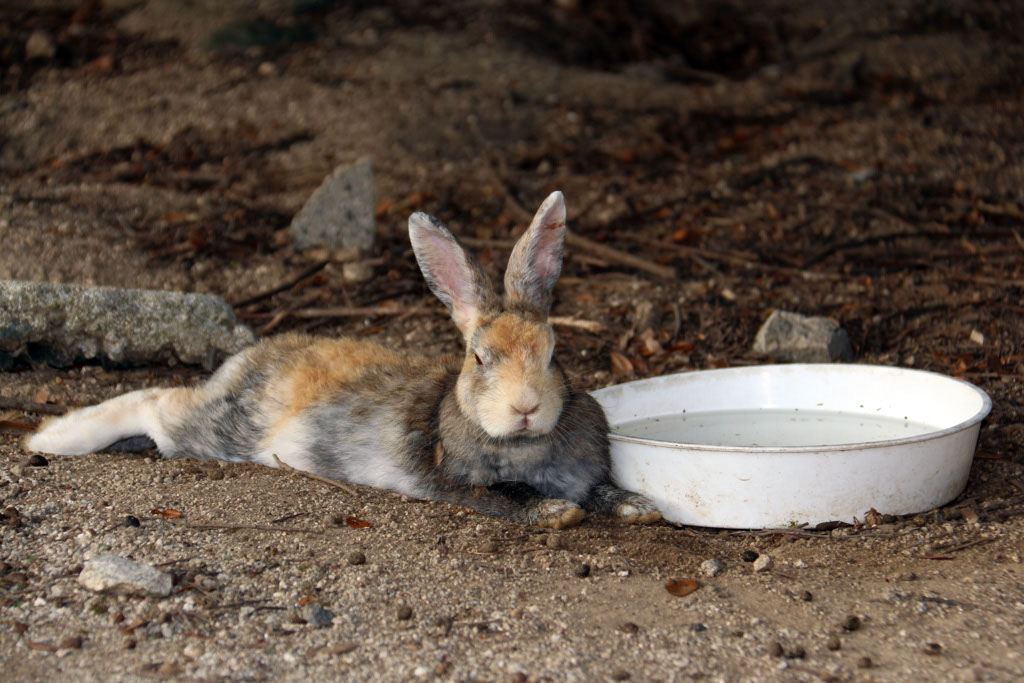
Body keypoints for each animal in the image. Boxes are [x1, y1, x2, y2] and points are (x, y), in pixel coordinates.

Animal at [26, 191, 661, 529]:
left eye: (553, 353)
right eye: (479, 358)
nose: (526, 406)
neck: (528, 444)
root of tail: (246, 360)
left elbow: (601, 492)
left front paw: (642, 508)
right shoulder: (458, 483)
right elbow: (511, 497)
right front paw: (559, 514)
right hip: (221, 431)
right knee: (158, 402)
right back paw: (52, 438)